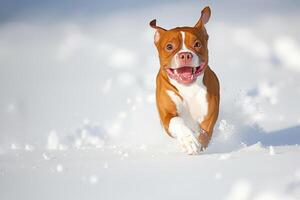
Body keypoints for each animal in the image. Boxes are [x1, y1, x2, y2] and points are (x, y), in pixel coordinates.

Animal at [151, 6, 219, 155]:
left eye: (197, 44)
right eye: (169, 46)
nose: (185, 55)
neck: (188, 88)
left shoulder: (208, 119)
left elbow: (204, 134)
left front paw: (199, 143)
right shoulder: (167, 116)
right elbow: (177, 122)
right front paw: (189, 141)